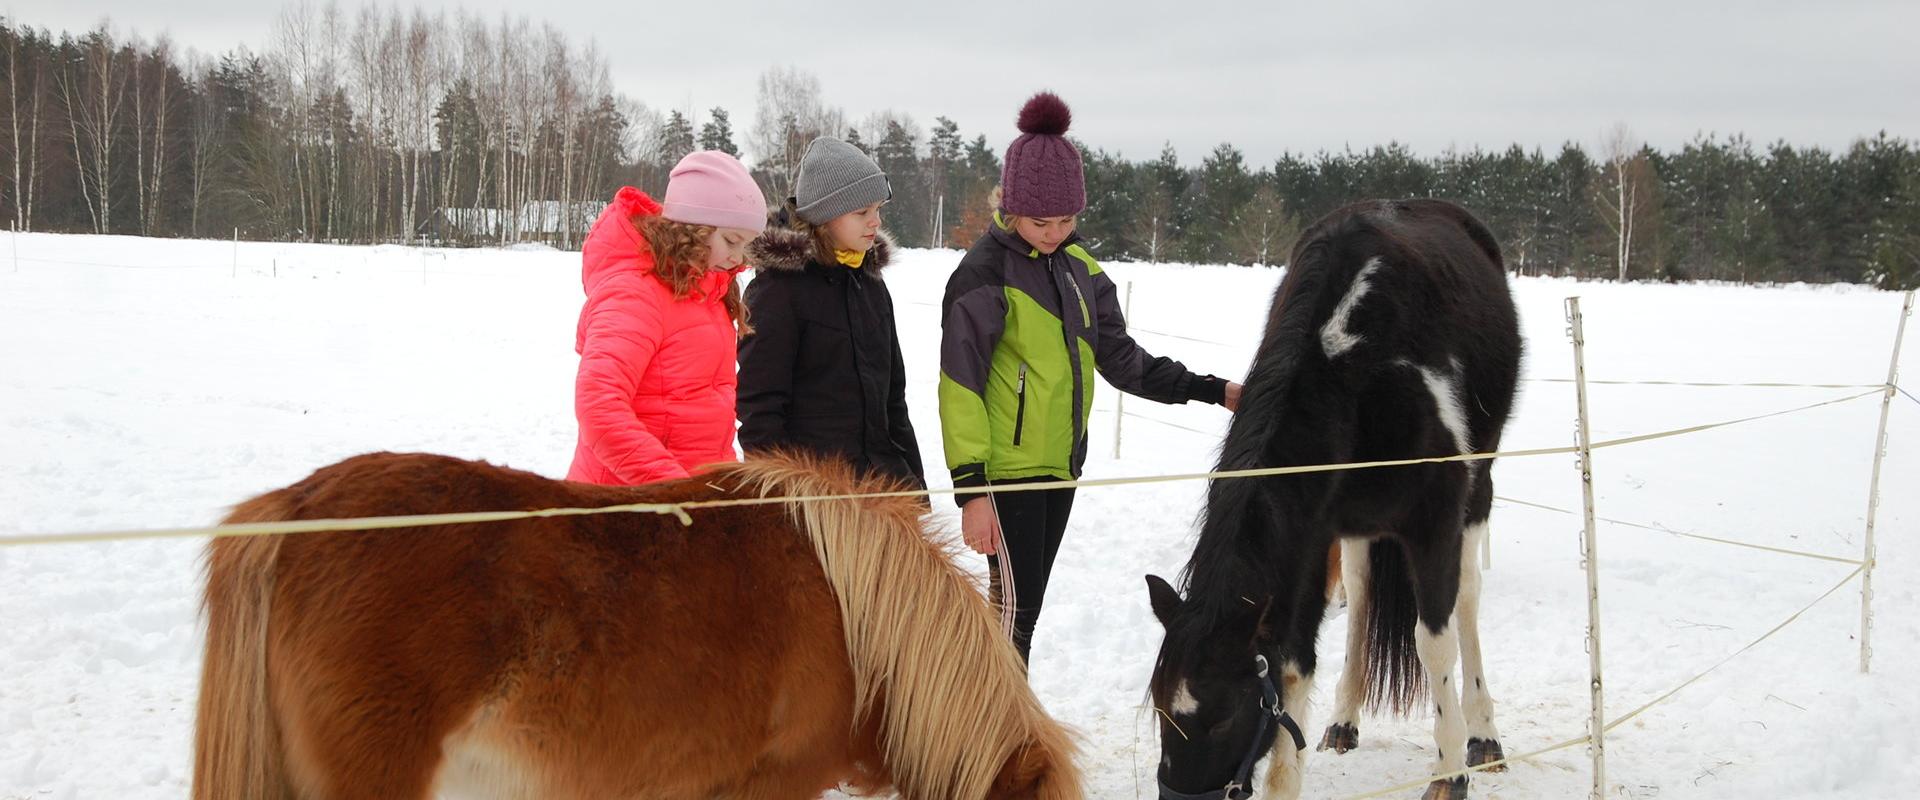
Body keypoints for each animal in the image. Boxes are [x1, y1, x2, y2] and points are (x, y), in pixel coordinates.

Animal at [1144, 199, 1520, 798]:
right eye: (1160, 709)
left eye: (1223, 716)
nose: (1177, 796)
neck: (1352, 369)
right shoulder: (1310, 535)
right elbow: (1295, 662)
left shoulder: (1434, 521)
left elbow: (1434, 640)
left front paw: (1450, 772)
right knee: (1363, 598)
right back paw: (1344, 719)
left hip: (1478, 489)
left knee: (1466, 598)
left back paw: (1483, 734)